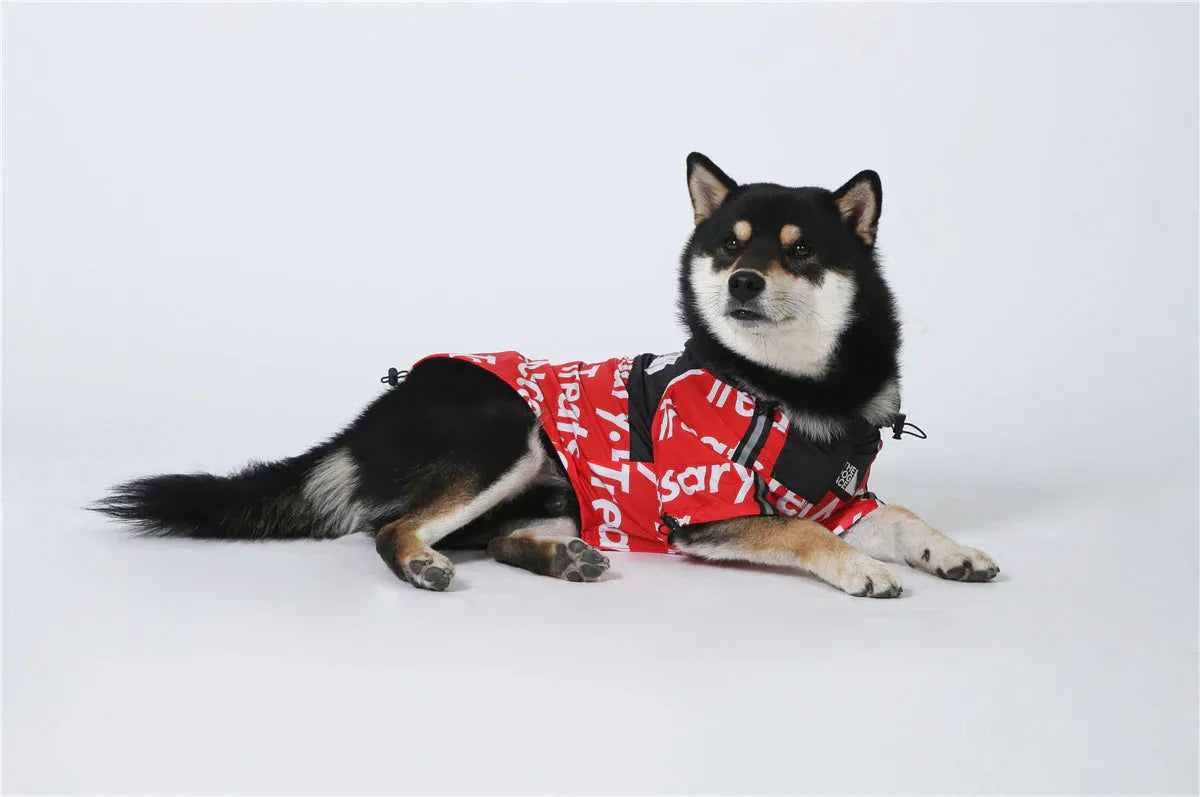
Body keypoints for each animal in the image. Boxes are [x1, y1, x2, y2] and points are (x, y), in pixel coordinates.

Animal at [93, 153, 998, 597]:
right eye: (730, 246)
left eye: (801, 249)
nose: (743, 282)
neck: (791, 391)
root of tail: (380, 407)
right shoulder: (705, 512)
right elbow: (803, 532)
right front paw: (864, 570)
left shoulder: (847, 496)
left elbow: (901, 514)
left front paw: (952, 552)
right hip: (507, 434)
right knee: (393, 529)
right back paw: (421, 564)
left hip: (560, 487)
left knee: (488, 535)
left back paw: (561, 559)